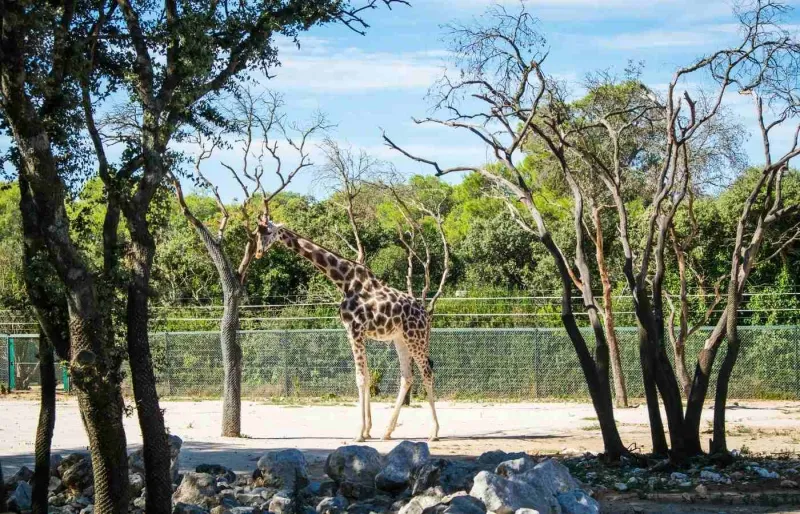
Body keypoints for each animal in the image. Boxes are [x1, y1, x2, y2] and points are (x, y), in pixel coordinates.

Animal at [254, 217, 440, 442]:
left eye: (268, 232)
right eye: (256, 232)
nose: (258, 252)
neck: (344, 281)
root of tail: (426, 315)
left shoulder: (355, 329)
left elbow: (360, 378)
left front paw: (359, 433)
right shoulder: (355, 332)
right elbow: (366, 376)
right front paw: (368, 430)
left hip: (415, 337)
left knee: (427, 372)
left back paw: (434, 432)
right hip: (401, 338)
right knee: (407, 376)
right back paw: (387, 431)